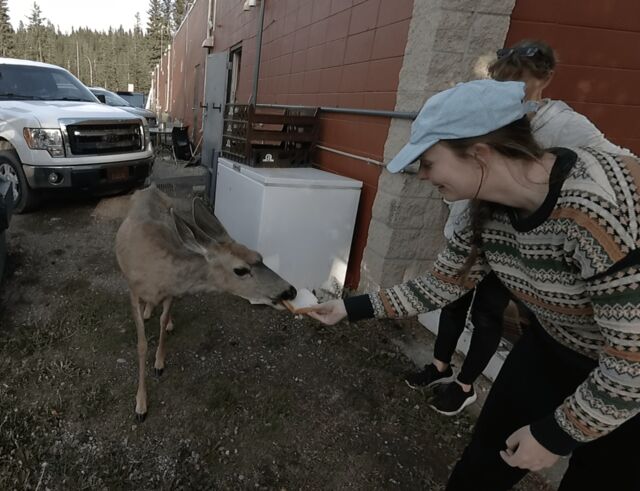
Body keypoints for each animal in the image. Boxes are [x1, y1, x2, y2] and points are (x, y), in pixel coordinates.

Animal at [116, 185, 296, 422]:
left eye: (260, 256)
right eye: (240, 270)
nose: (290, 291)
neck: (158, 273)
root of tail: (150, 187)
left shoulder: (171, 292)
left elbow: (162, 322)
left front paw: (159, 363)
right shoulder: (133, 290)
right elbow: (142, 345)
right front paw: (140, 405)